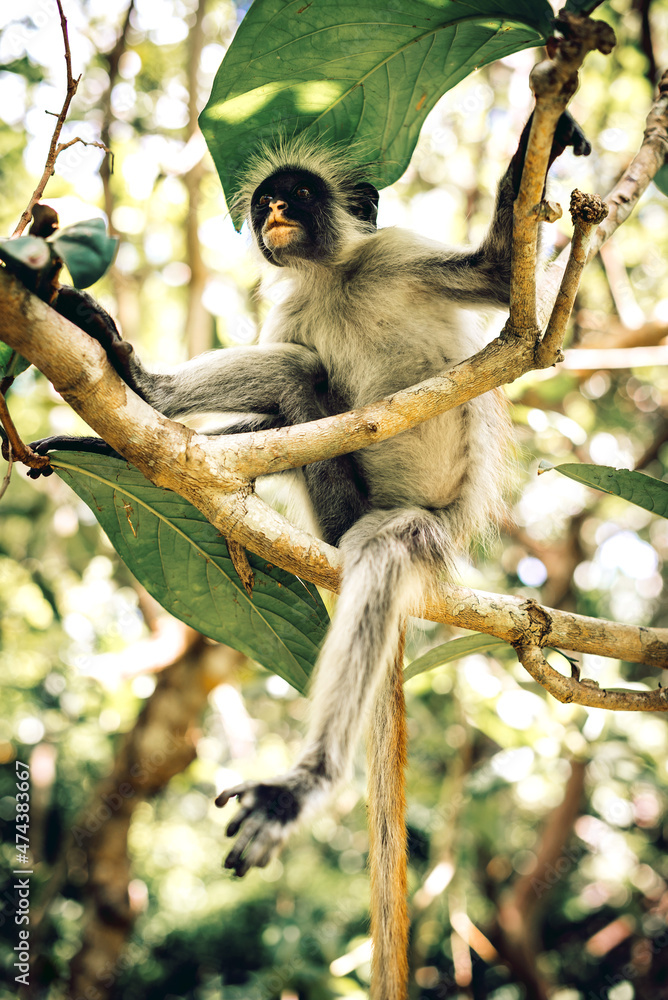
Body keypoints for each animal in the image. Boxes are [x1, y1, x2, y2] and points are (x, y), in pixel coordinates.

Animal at [29, 111, 590, 1000]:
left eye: (295, 196)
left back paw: (305, 781)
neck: (334, 279)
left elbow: (502, 274)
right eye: (266, 202)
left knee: (382, 548)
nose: (273, 217)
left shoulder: (394, 252)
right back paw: (145, 398)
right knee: (296, 378)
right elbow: (283, 391)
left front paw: (549, 127)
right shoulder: (291, 305)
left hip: (417, 527)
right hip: (334, 503)